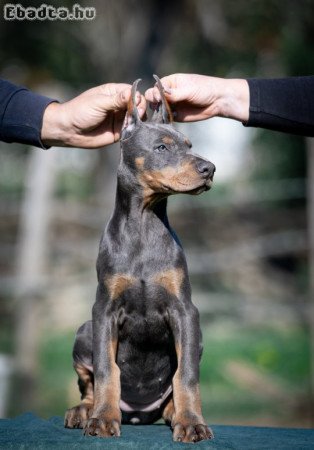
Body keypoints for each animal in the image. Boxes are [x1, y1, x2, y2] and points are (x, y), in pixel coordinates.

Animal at [64, 75, 216, 442]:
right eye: (161, 148)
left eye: (189, 144)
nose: (210, 169)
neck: (145, 224)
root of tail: (137, 413)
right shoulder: (104, 310)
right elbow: (106, 370)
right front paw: (102, 419)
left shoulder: (185, 311)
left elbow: (187, 374)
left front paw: (192, 422)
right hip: (84, 330)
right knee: (87, 384)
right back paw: (84, 411)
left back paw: (175, 413)